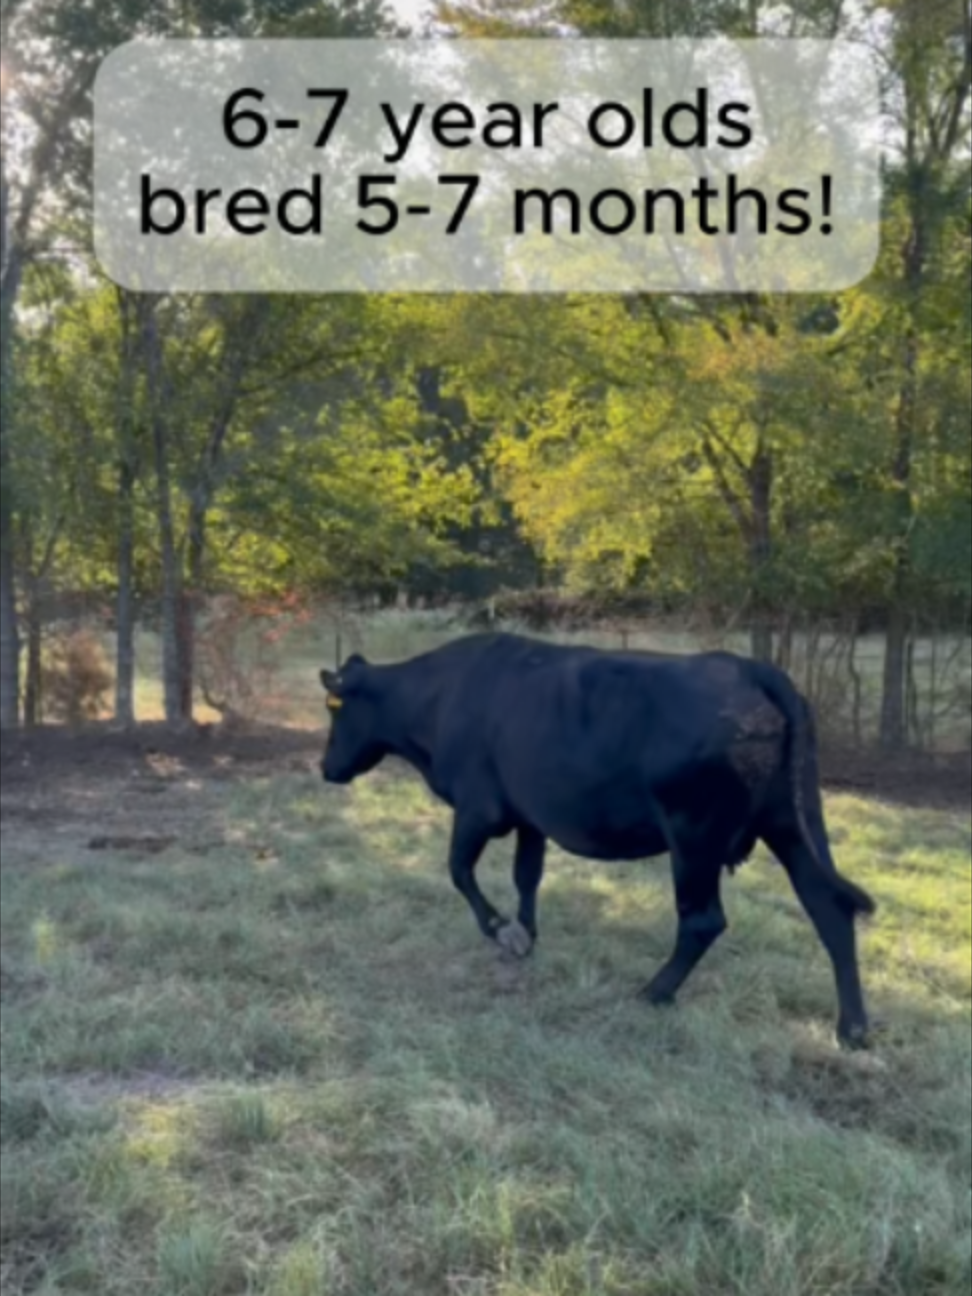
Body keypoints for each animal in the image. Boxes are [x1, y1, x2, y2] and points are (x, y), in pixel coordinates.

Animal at [319, 632, 875, 1049]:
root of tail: (749, 668)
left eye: (334, 710)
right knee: (829, 909)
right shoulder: (529, 816)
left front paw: (501, 931)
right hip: (793, 822)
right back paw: (853, 1030)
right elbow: (527, 876)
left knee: (703, 921)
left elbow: (459, 871)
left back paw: (653, 993)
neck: (439, 699)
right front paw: (526, 935)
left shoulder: (479, 809)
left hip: (694, 836)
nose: (325, 767)